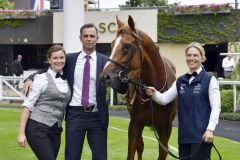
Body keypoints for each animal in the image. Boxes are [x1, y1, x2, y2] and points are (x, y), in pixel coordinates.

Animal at [99, 15, 176, 160]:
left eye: (127, 46)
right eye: (112, 44)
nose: (104, 77)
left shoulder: (165, 129)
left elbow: (163, 152)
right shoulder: (134, 125)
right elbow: (133, 151)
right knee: (140, 146)